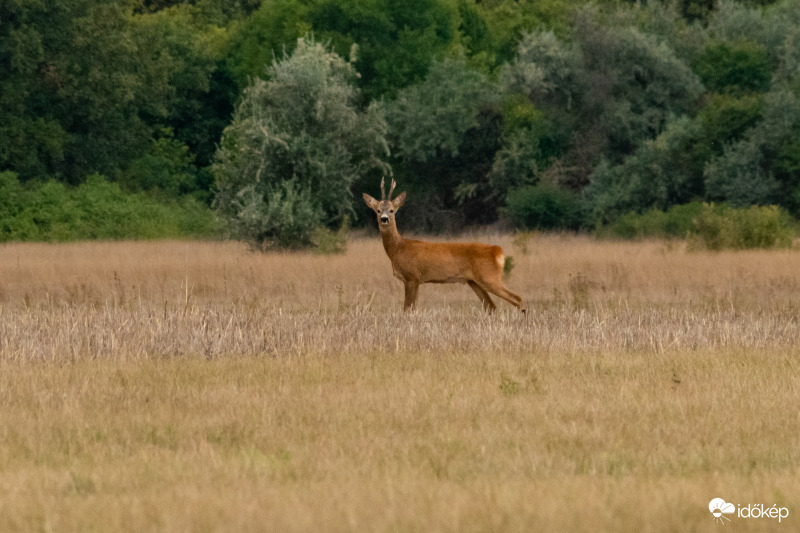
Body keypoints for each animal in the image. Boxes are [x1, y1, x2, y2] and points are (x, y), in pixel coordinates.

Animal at [362, 178, 524, 312]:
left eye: (392, 210)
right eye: (377, 210)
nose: (384, 219)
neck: (398, 249)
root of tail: (496, 250)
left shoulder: (411, 276)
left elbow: (407, 308)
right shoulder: (418, 280)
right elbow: (413, 308)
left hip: (489, 277)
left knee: (517, 299)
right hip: (474, 282)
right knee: (491, 306)